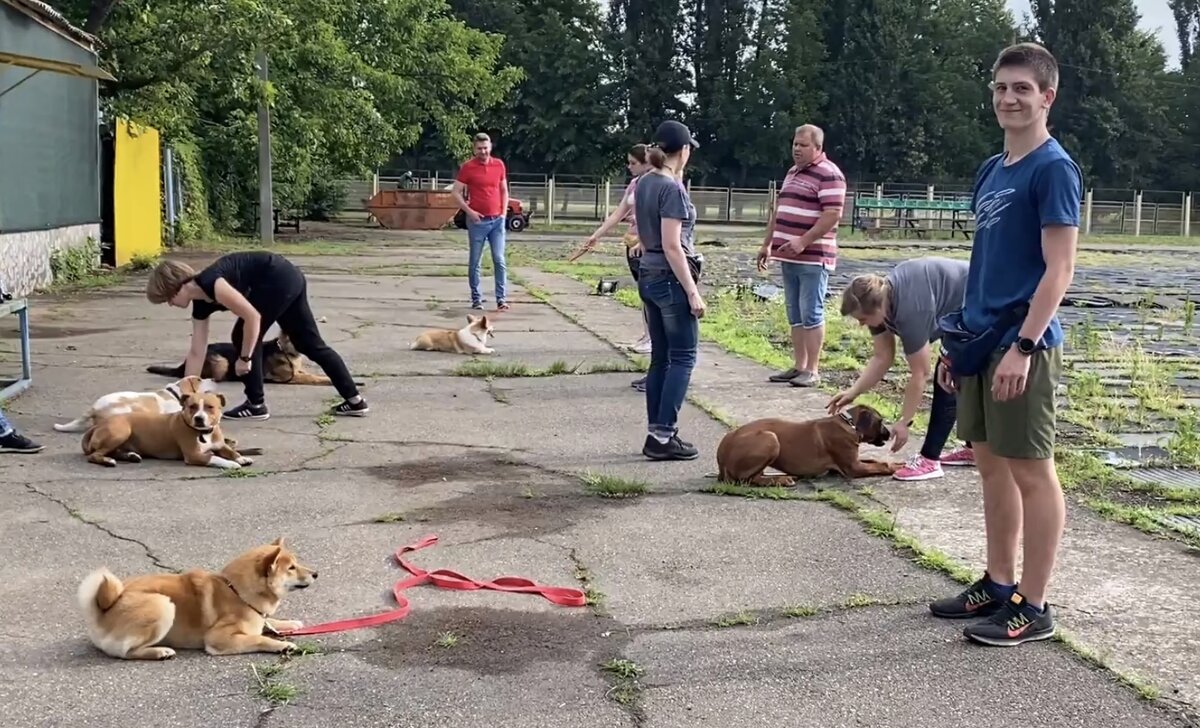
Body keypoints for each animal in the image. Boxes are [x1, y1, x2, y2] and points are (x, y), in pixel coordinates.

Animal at [75, 534, 319, 662]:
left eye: (296, 563)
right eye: (291, 567)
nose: (316, 573)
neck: (237, 591)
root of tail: (103, 610)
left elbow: (268, 622)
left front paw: (288, 623)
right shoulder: (220, 638)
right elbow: (258, 638)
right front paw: (282, 645)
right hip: (163, 604)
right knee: (126, 653)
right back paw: (160, 651)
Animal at [83, 390, 256, 470]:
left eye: (210, 407)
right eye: (192, 406)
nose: (199, 418)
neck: (203, 432)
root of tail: (98, 425)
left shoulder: (220, 445)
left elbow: (231, 451)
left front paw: (240, 457)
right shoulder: (194, 455)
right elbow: (214, 457)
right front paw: (231, 464)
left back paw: (130, 456)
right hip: (121, 431)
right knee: (94, 455)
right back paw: (108, 461)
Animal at [710, 400, 902, 486]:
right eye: (880, 422)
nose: (889, 434)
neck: (850, 423)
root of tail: (721, 461)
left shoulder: (853, 461)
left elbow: (875, 460)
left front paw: (898, 463)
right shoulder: (853, 467)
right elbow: (881, 465)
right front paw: (895, 467)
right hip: (770, 438)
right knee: (750, 479)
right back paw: (782, 479)